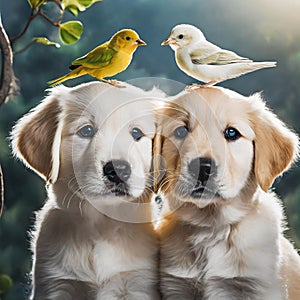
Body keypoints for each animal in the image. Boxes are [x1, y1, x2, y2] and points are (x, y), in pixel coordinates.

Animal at [10, 82, 162, 300]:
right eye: (86, 131)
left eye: (136, 133)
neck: (101, 226)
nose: (118, 170)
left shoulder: (138, 284)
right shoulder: (54, 284)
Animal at [157, 87, 300, 300]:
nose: (202, 168)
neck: (211, 227)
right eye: (181, 130)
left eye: (232, 132)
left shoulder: (259, 287)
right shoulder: (175, 286)